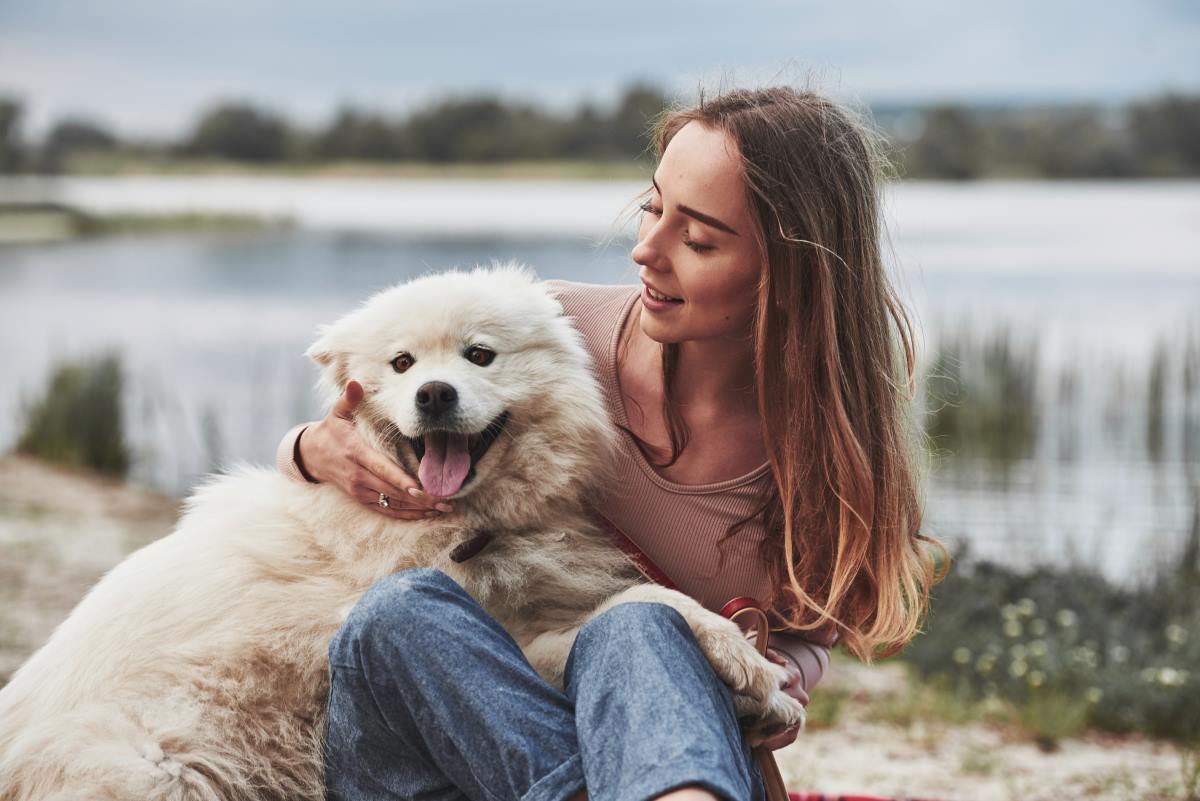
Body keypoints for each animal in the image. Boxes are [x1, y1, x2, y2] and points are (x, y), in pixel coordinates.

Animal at [2, 267, 806, 801]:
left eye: (479, 354)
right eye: (402, 364)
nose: (434, 394)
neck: (463, 524)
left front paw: (761, 688)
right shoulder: (508, 637)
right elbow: (641, 605)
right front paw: (752, 667)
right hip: (154, 771)